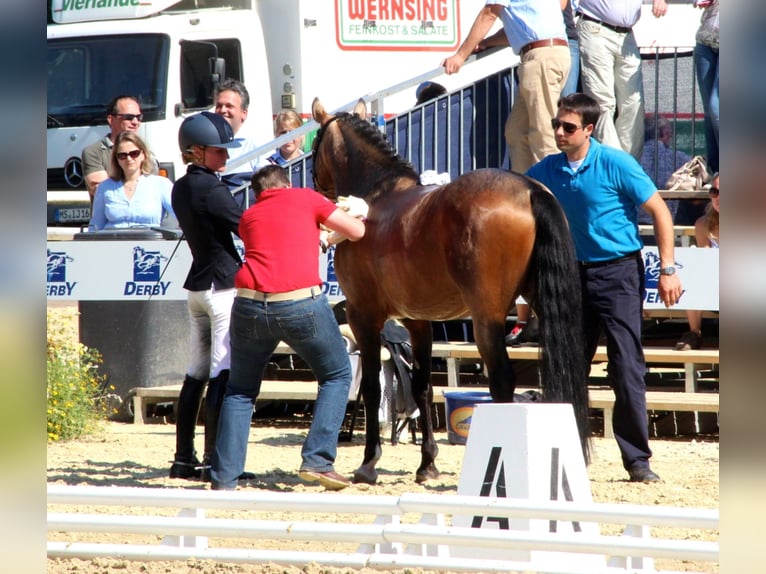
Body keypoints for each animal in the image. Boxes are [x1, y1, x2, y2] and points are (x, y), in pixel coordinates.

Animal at [311, 97, 591, 485]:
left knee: (501, 381)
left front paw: (368, 463)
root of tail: (527, 189)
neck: (377, 196)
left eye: (314, 144)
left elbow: (370, 387)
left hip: (486, 319)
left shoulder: (362, 315)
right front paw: (427, 464)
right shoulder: (418, 321)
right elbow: (421, 386)